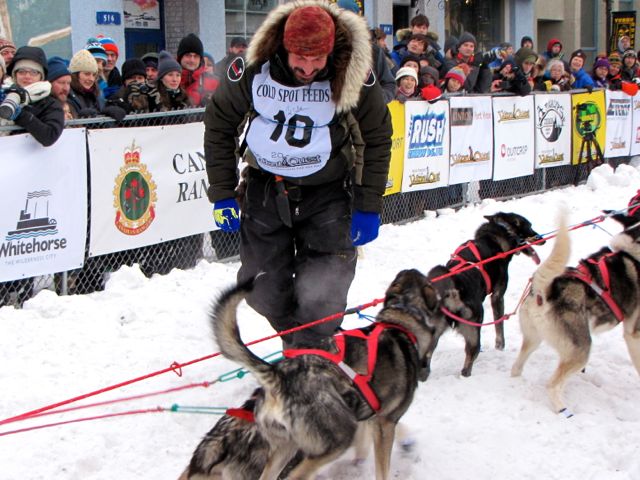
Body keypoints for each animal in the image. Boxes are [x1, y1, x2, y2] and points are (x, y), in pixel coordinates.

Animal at [211, 269, 438, 480]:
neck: (401, 320)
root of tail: (277, 373)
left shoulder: (369, 416)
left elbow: (365, 441)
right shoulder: (385, 423)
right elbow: (383, 468)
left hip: (285, 446)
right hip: (338, 438)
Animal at [422, 212, 543, 378]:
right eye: (530, 226)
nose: (541, 238)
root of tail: (452, 289)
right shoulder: (497, 296)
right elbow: (499, 326)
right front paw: (500, 347)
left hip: (433, 334)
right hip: (475, 324)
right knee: (470, 357)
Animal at [511, 210, 640, 415]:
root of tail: (544, 290)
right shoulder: (633, 334)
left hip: (534, 338)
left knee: (517, 367)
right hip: (582, 349)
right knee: (553, 384)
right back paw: (563, 410)